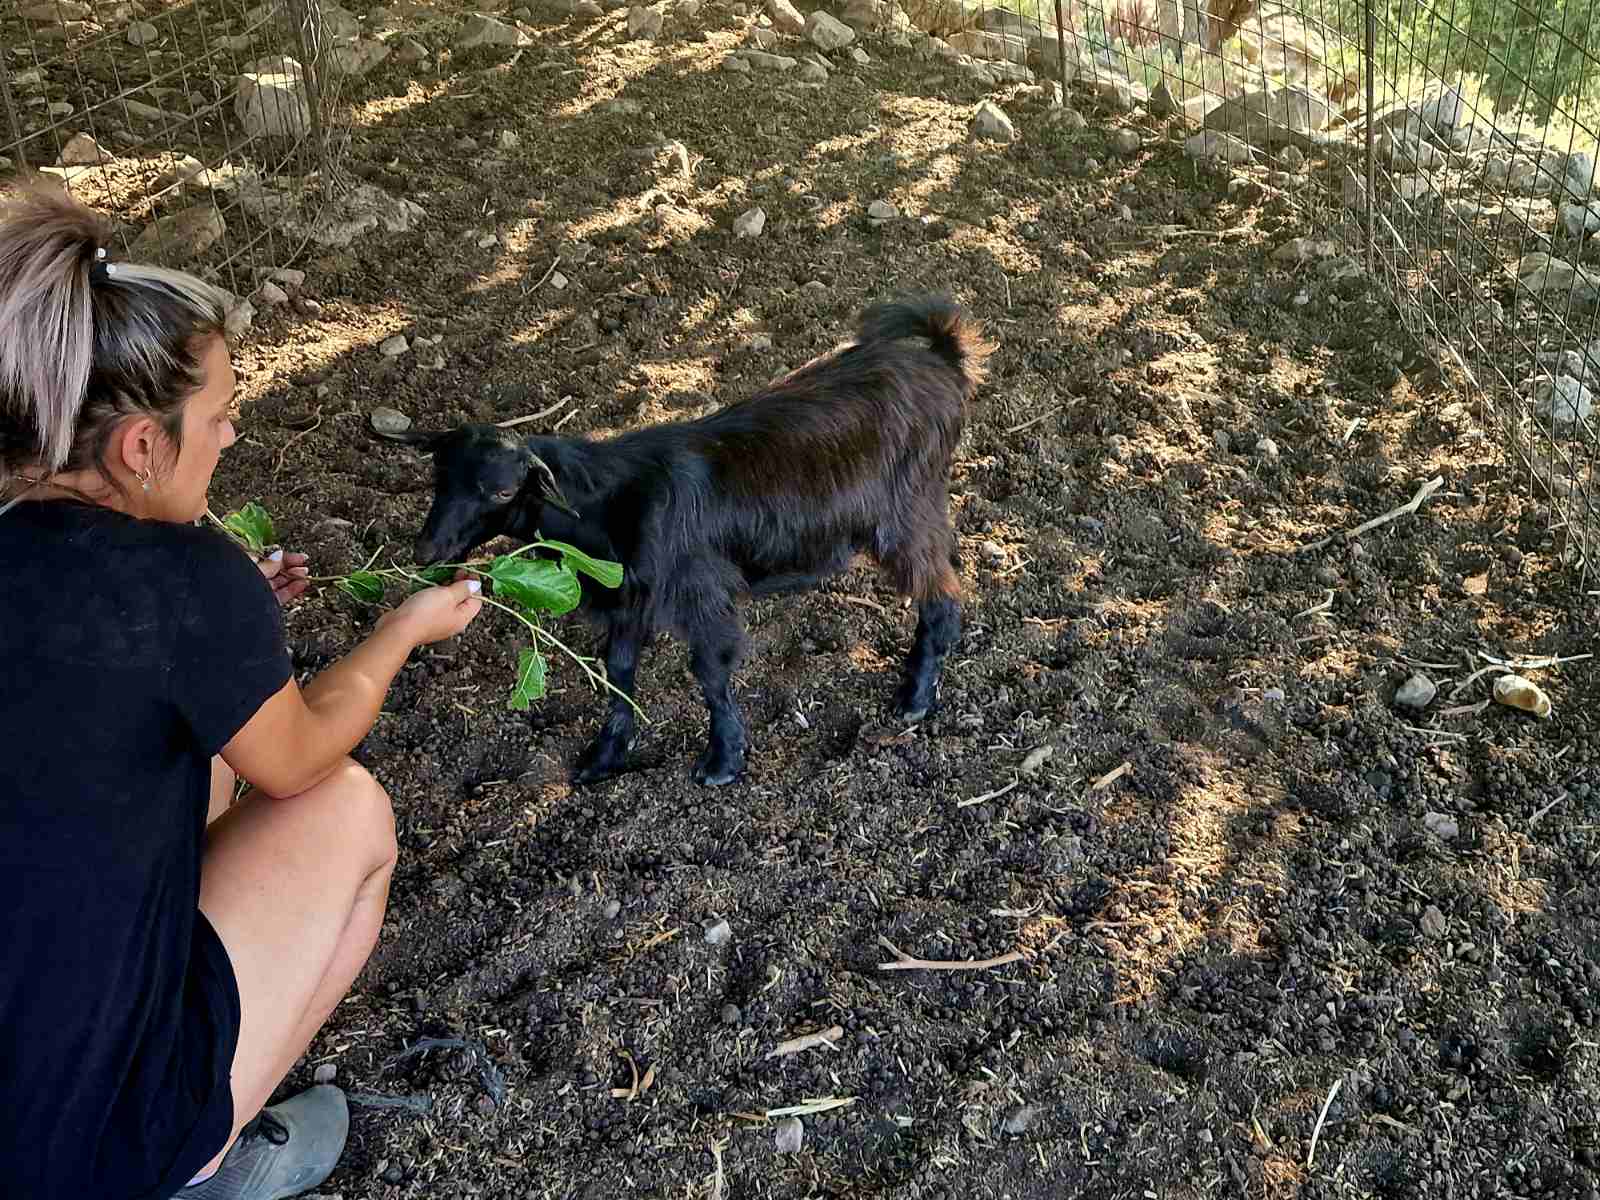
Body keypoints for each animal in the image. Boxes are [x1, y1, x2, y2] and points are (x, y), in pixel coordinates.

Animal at [380, 294, 992, 790]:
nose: (425, 552)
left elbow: (711, 674)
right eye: (438, 477)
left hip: (905, 513)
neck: (613, 503)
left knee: (941, 593)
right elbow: (619, 674)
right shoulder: (628, 599)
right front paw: (604, 757)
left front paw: (722, 761)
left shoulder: (700, 593)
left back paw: (915, 699)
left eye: (502, 490)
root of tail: (943, 360)